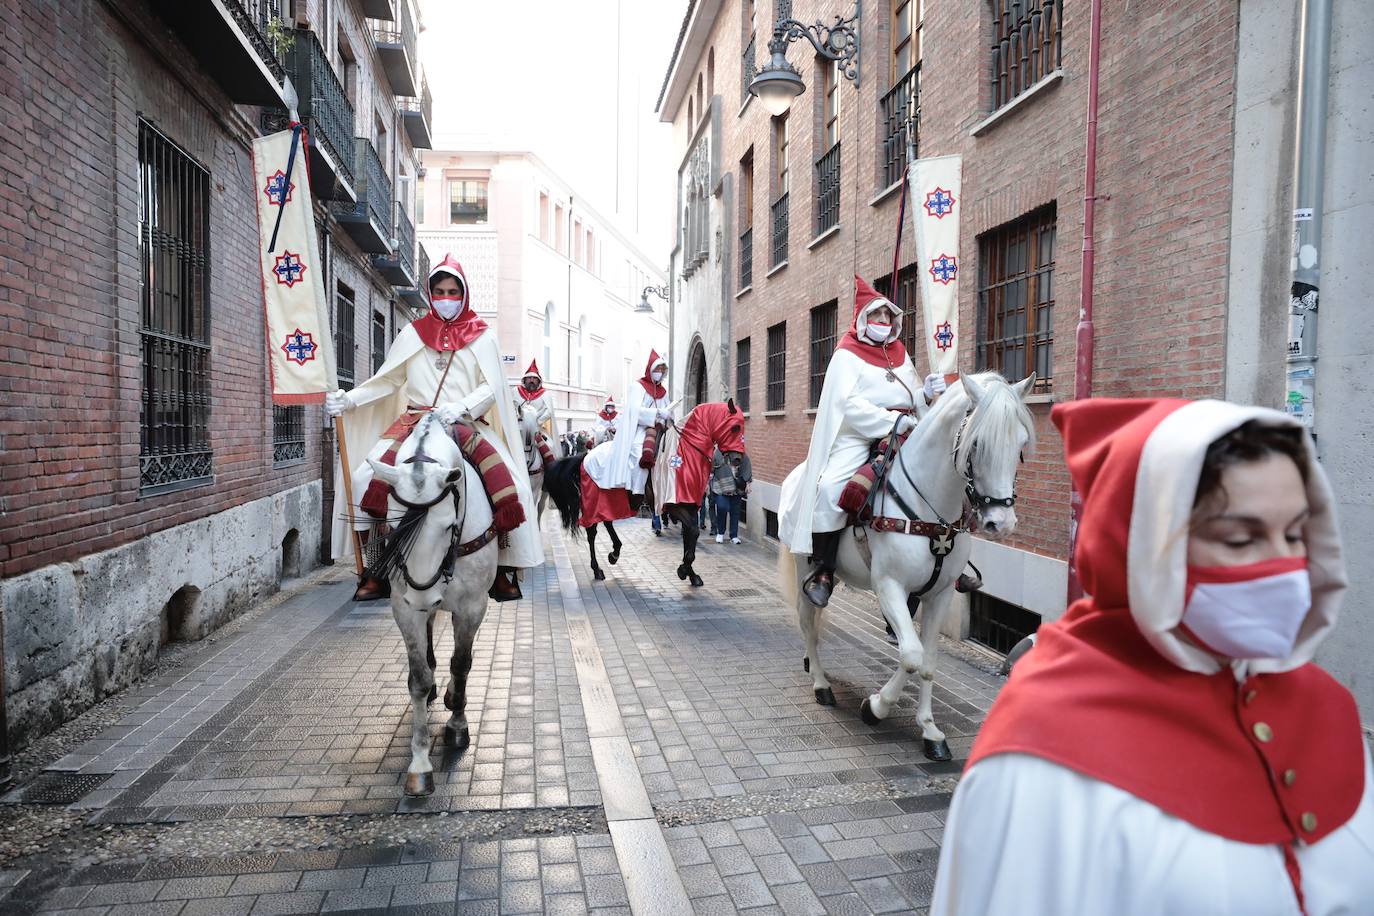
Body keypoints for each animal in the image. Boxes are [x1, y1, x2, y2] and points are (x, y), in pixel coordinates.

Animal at [365, 414, 500, 796]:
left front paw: (457, 725)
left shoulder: (472, 607)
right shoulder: (403, 607)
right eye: (394, 526)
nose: (424, 597)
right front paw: (420, 764)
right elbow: (419, 678)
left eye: (448, 526)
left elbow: (462, 664)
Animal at [785, 370, 1033, 758]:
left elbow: (927, 662)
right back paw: (821, 684)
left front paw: (930, 731)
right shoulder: (889, 587)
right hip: (802, 565)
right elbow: (911, 655)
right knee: (808, 621)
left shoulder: (940, 595)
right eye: (977, 443)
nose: (1001, 522)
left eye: (1021, 443)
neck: (932, 508)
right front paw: (875, 707)